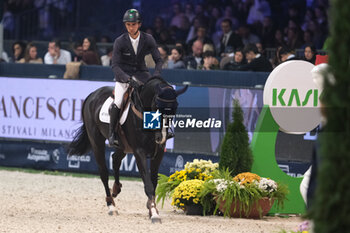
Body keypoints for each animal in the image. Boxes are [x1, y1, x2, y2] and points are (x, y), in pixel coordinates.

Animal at [67, 76, 187, 222]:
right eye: (157, 107)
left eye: (175, 108)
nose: (161, 137)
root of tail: (92, 94)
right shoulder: (139, 152)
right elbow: (148, 184)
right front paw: (154, 213)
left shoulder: (158, 153)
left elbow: (153, 182)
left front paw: (151, 207)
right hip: (97, 142)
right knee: (104, 172)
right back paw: (111, 206)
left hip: (124, 146)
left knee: (115, 159)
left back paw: (116, 189)